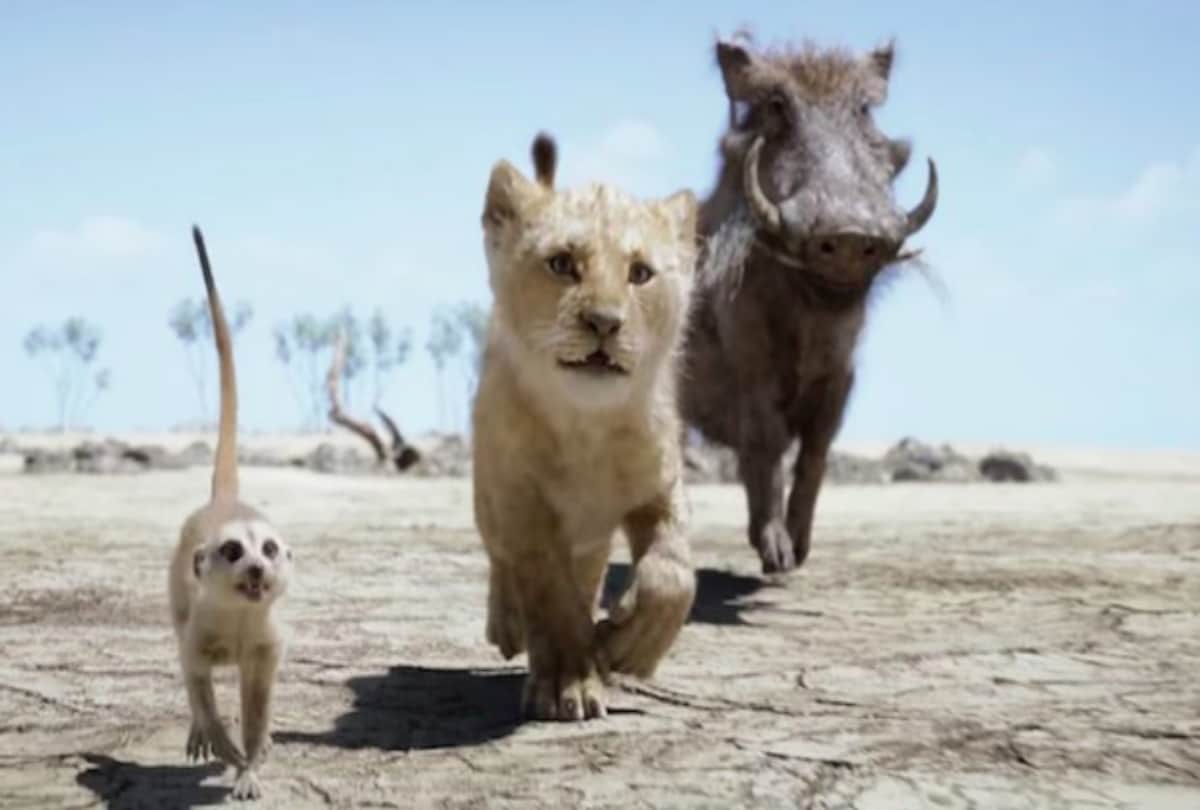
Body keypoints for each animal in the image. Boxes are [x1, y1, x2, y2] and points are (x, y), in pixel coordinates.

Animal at [472, 132, 699, 721]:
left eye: (640, 273)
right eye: (561, 264)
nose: (604, 322)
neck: (588, 426)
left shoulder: (661, 485)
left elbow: (673, 574)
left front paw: (629, 647)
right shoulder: (522, 502)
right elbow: (549, 592)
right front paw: (568, 681)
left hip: (593, 539)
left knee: (591, 573)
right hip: (487, 495)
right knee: (502, 560)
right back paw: (509, 625)